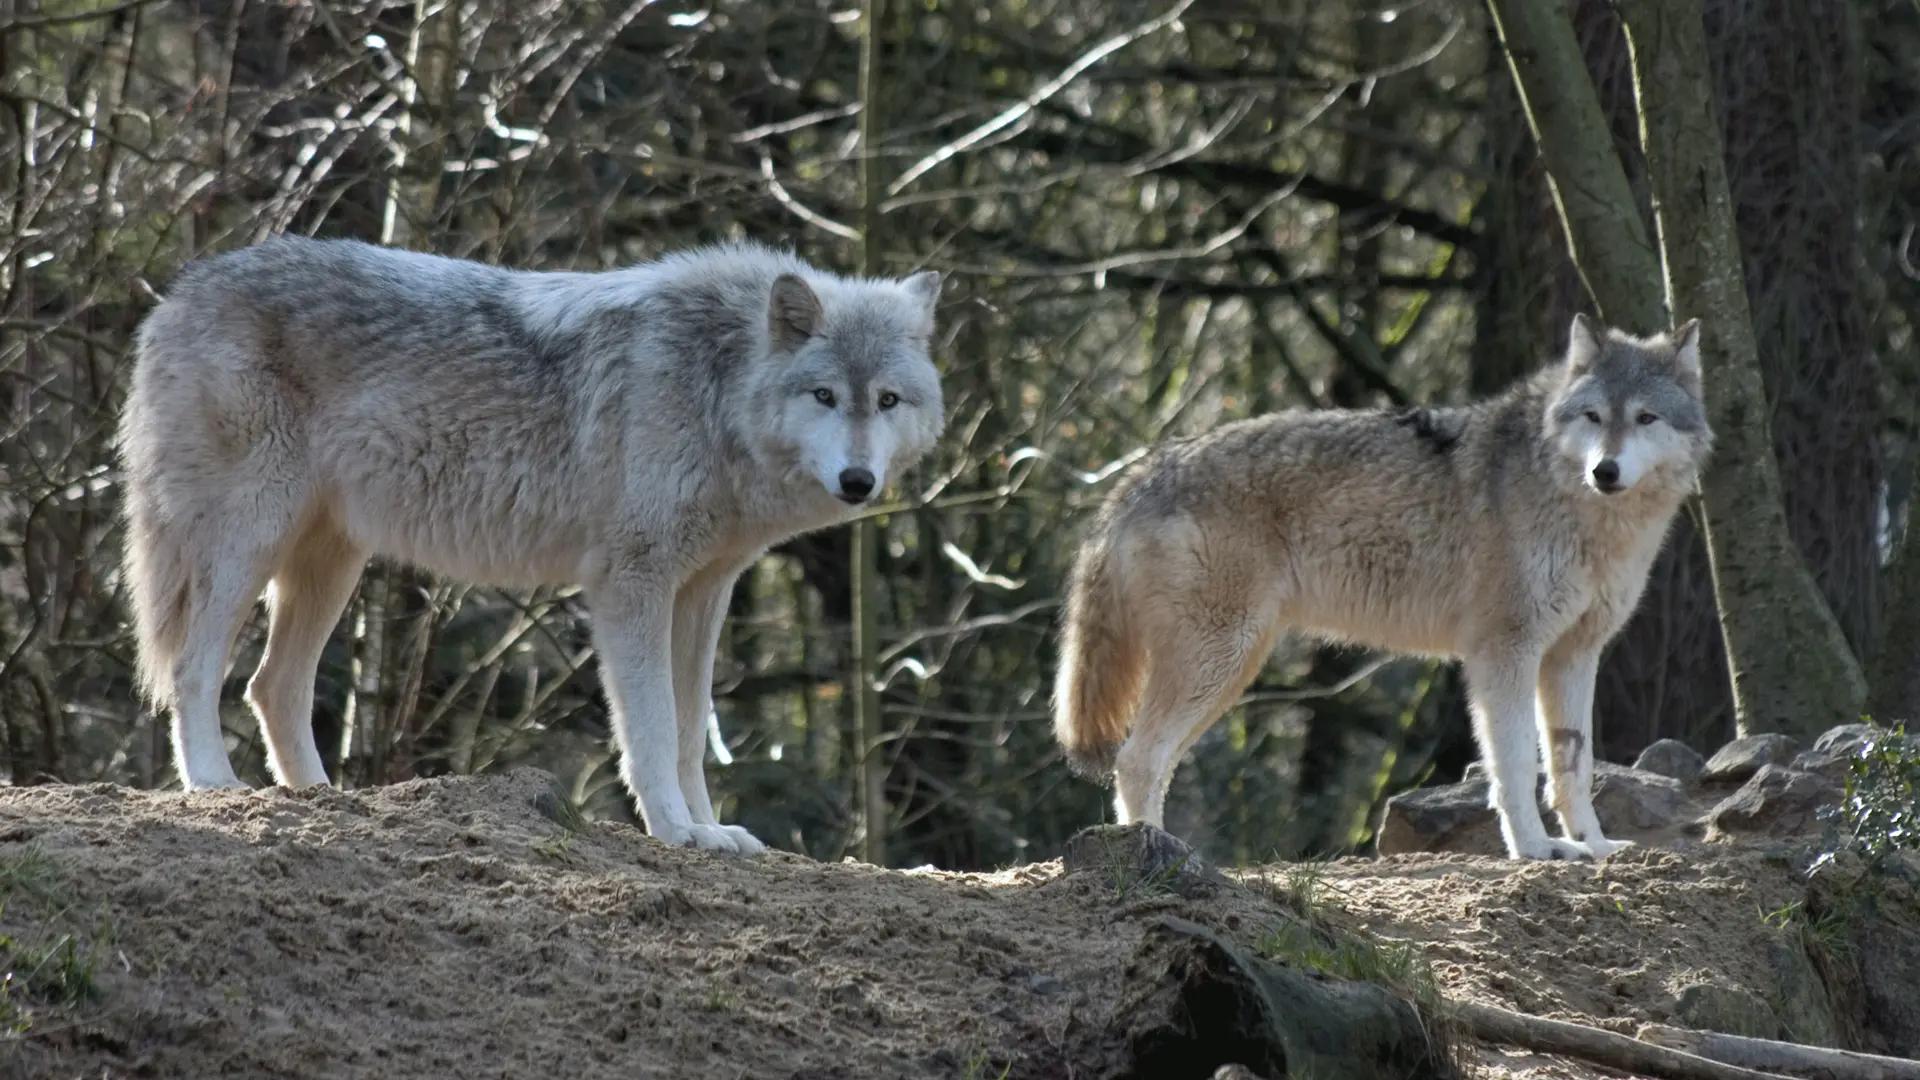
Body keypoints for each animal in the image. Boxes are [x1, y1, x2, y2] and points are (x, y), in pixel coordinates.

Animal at [120, 235, 944, 849]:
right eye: (824, 395)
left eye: (887, 400)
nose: (859, 480)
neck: (718, 386)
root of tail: (177, 293)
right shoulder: (630, 585)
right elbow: (651, 727)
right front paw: (674, 830)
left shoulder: (706, 592)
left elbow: (688, 729)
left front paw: (710, 831)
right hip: (249, 544)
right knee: (193, 667)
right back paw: (215, 786)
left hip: (331, 566)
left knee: (271, 685)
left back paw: (323, 799)